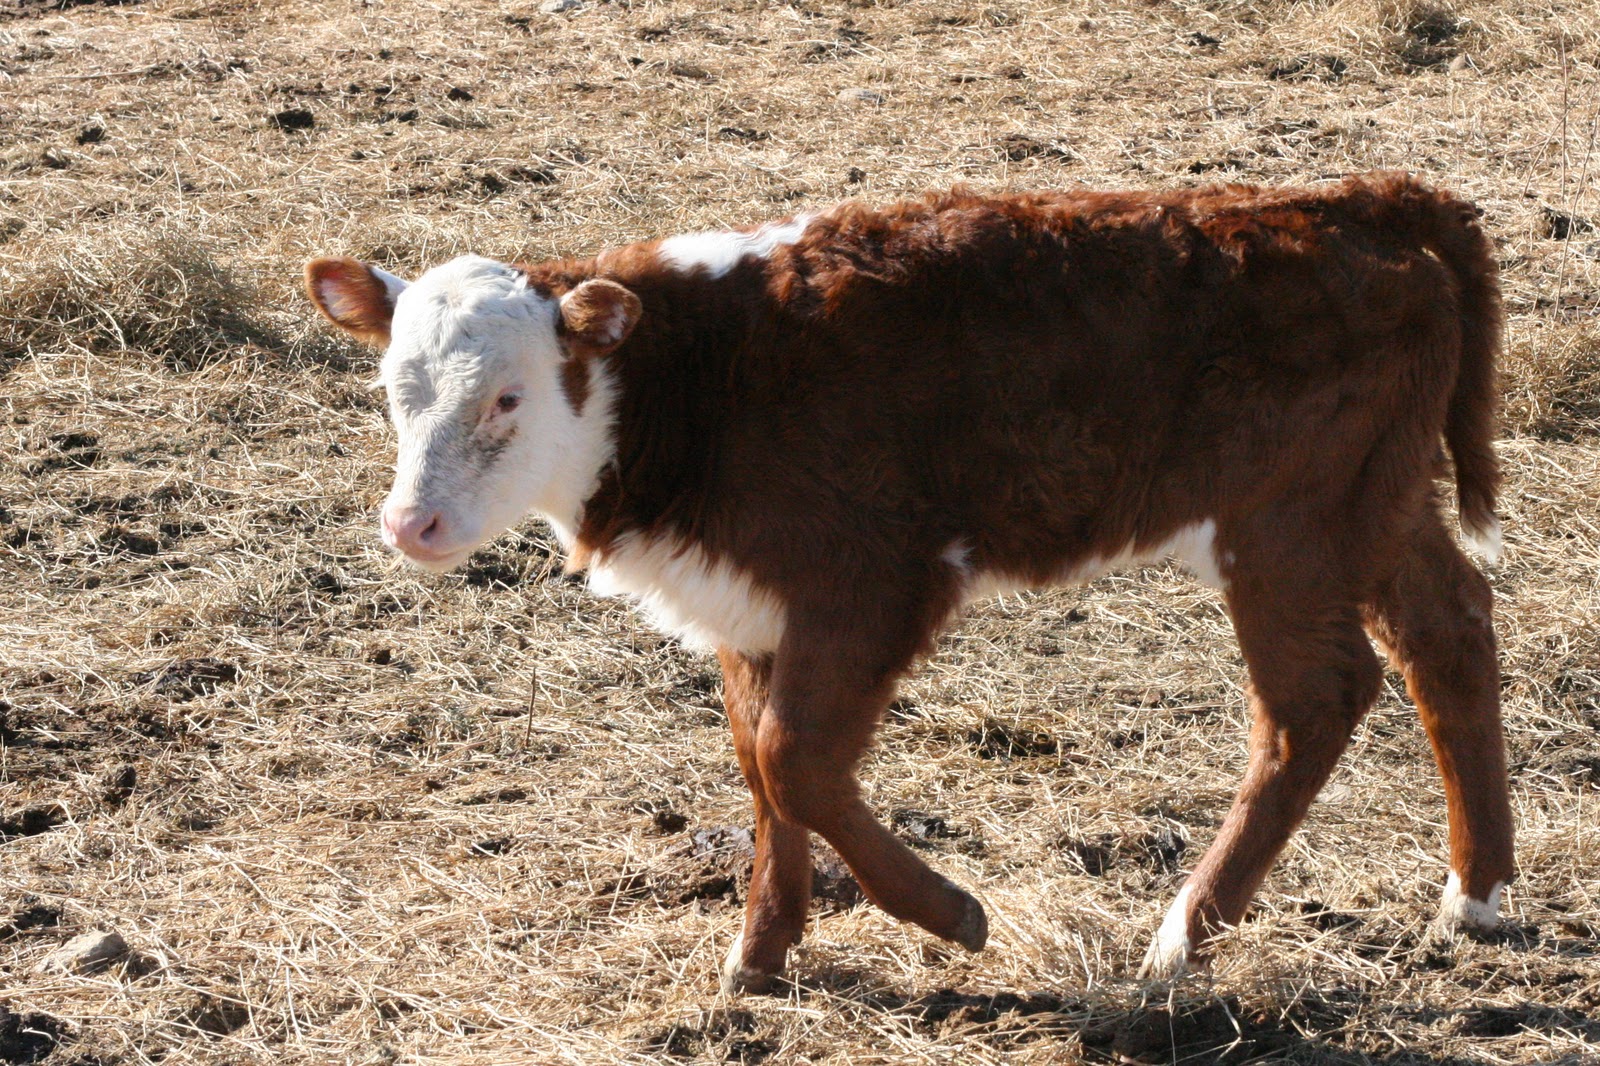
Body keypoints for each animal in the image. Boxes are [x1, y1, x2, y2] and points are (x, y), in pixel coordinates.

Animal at [305, 173, 1513, 992]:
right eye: (392, 387)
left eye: (507, 398)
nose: (410, 525)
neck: (698, 375)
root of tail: (1367, 205)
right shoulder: (753, 605)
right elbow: (761, 768)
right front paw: (760, 952)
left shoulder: (870, 582)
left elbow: (795, 759)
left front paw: (950, 914)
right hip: (1377, 502)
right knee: (1449, 633)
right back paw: (1478, 897)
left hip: (1285, 532)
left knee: (1313, 701)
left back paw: (1184, 933)